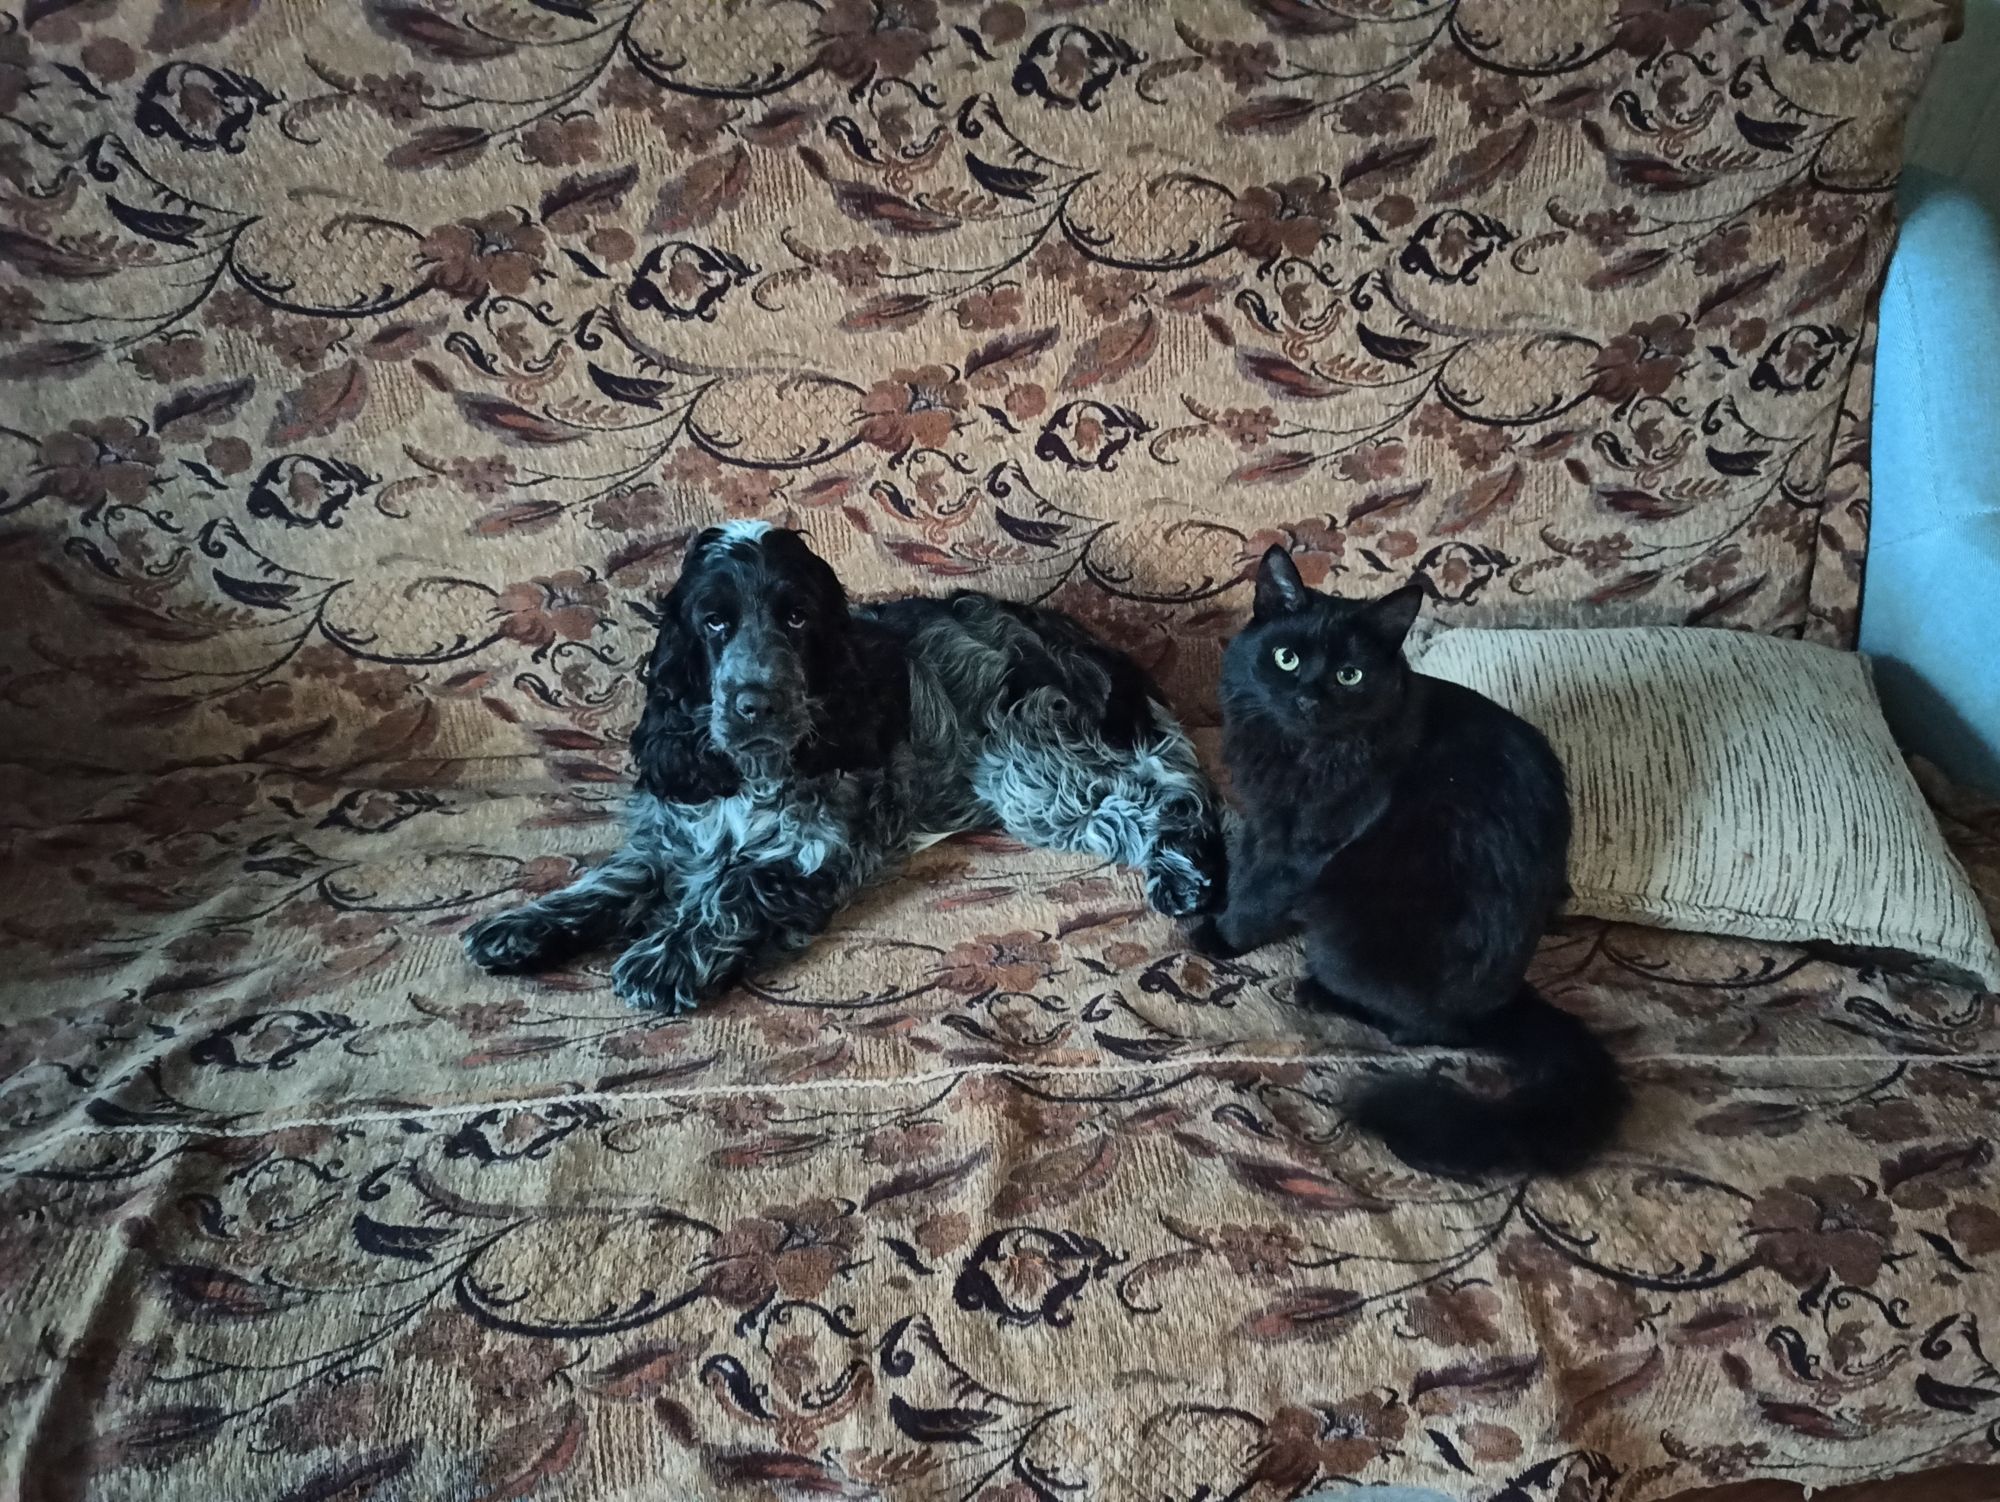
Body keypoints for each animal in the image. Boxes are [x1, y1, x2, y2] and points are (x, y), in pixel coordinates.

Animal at [463, 521, 1224, 1012]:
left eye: (797, 618)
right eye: (714, 622)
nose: (754, 705)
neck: (756, 773)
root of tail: (1092, 645)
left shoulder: (818, 850)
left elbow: (734, 887)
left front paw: (666, 955)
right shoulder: (676, 832)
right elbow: (611, 880)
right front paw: (521, 927)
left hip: (1030, 764)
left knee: (1173, 796)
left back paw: (1185, 876)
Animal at [1188, 545, 1628, 1177]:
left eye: (1349, 676)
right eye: (1285, 658)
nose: (1308, 698)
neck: (1301, 752)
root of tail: (1507, 1001)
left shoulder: (1301, 845)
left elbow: (1259, 894)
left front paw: (1221, 937)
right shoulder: (1264, 817)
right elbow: (1245, 865)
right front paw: (1212, 895)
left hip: (1347, 931)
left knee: (1425, 1032)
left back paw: (1320, 993)